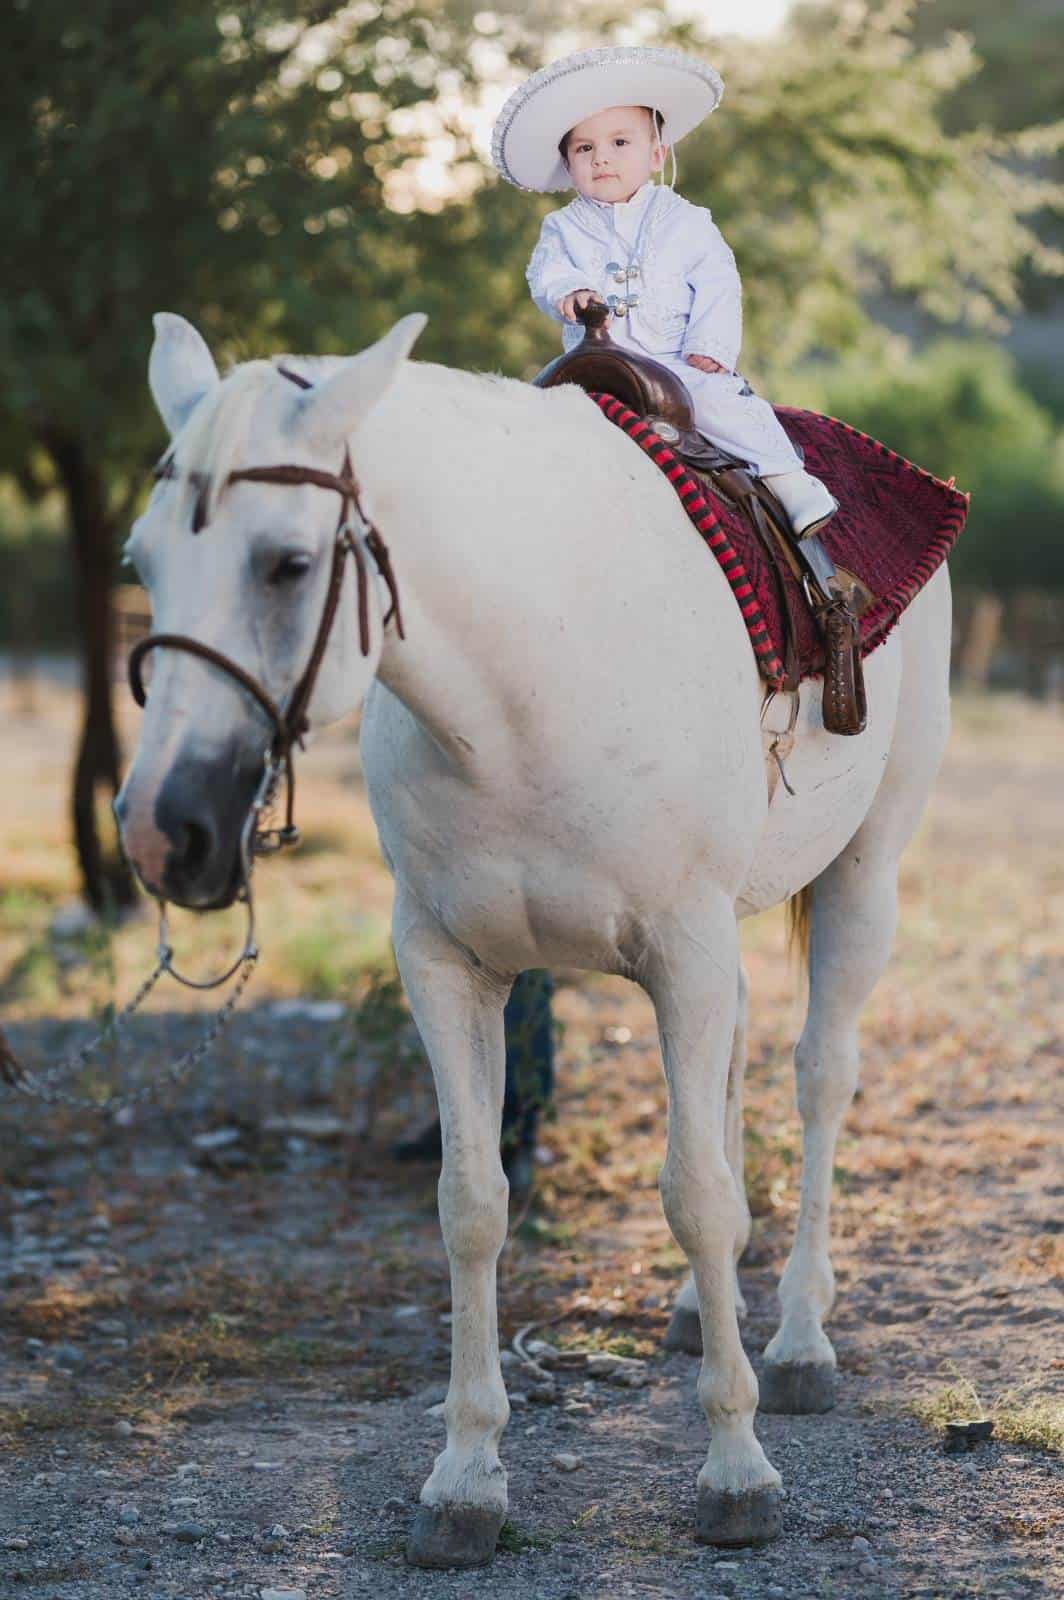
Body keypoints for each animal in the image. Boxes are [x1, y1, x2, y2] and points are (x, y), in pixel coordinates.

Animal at [118, 308, 953, 1561]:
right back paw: (696, 1309)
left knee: (817, 1079)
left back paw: (800, 1339)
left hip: (864, 874)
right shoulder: (448, 965)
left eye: (287, 564)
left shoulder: (681, 950)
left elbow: (693, 1193)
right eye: (141, 564)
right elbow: (473, 1204)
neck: (528, 673)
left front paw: (735, 1468)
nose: (163, 830)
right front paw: (464, 1478)